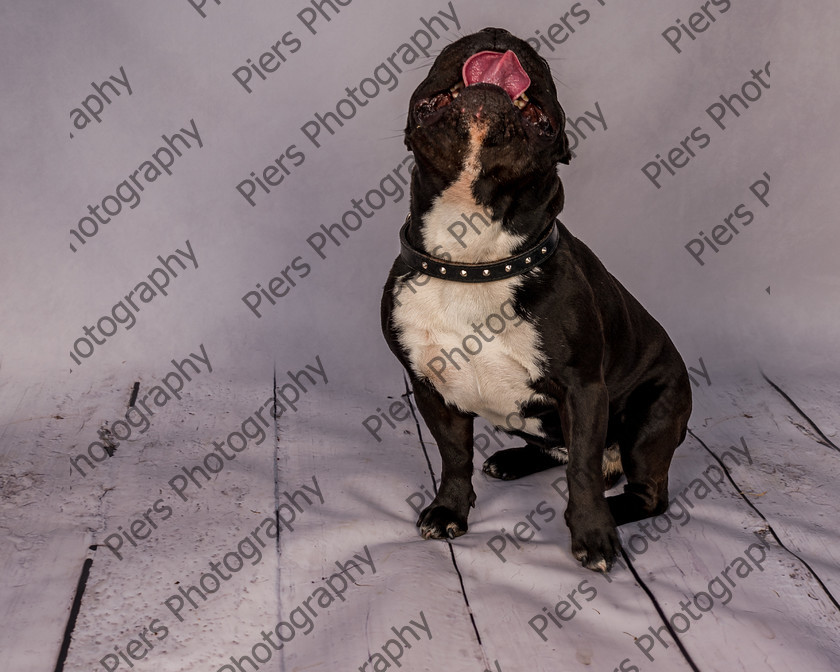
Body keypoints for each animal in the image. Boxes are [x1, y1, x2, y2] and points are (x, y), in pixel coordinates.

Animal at [380, 27, 688, 572]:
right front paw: (449, 510)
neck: (472, 255)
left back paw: (611, 511)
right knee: (553, 449)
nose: (498, 31)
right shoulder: (430, 386)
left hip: (651, 418)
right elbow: (453, 455)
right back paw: (512, 460)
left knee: (640, 489)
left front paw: (592, 535)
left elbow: (582, 471)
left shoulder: (583, 390)